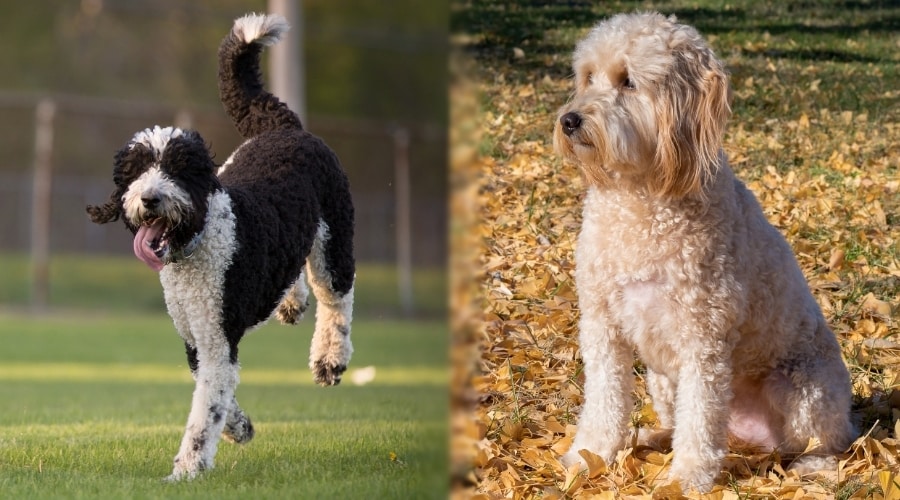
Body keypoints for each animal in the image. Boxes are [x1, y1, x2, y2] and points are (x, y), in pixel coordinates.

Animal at [85, 12, 356, 480]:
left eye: (178, 169)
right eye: (134, 172)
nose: (149, 198)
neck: (198, 245)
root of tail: (284, 129)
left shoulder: (214, 335)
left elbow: (204, 412)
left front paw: (186, 470)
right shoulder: (196, 339)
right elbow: (215, 392)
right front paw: (240, 426)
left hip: (334, 240)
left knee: (337, 300)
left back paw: (329, 358)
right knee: (298, 278)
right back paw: (291, 302)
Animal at [552, 11, 856, 492]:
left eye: (628, 81)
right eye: (587, 76)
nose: (569, 119)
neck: (639, 198)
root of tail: (750, 437)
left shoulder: (703, 339)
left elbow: (699, 423)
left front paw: (685, 481)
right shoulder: (602, 326)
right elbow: (603, 402)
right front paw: (589, 458)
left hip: (804, 387)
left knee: (826, 440)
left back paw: (811, 465)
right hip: (661, 378)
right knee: (685, 424)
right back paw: (654, 436)